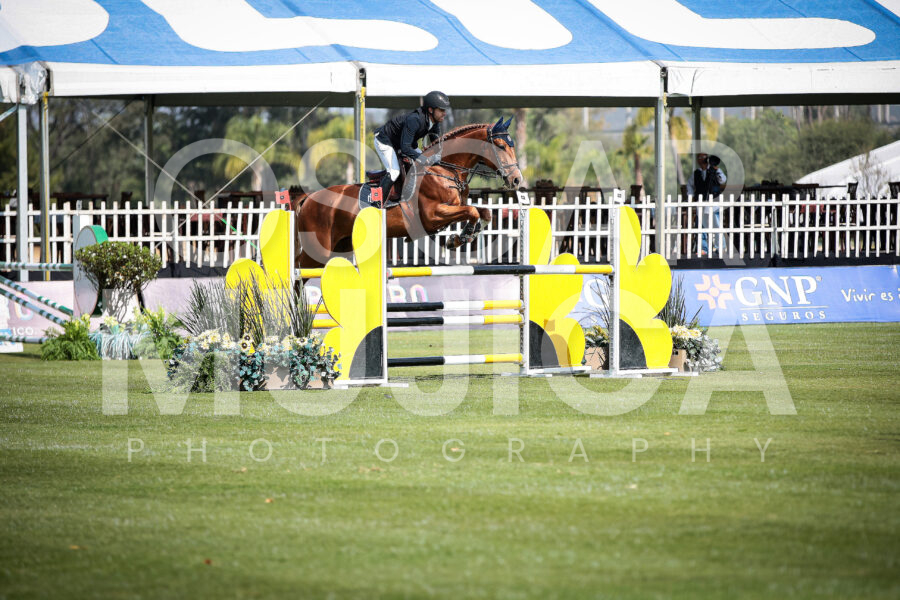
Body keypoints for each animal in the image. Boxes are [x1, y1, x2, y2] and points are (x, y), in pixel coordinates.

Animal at [293, 117, 524, 270]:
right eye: (501, 146)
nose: (516, 179)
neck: (444, 170)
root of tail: (308, 200)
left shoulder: (453, 208)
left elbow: (483, 212)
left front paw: (461, 237)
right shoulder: (433, 215)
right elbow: (473, 212)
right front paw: (461, 237)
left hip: (340, 245)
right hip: (319, 248)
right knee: (298, 270)